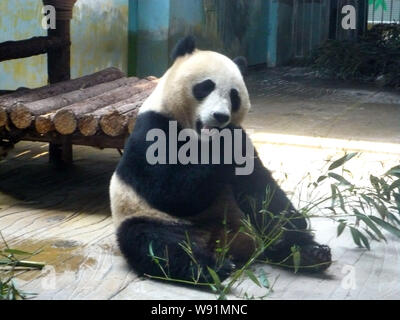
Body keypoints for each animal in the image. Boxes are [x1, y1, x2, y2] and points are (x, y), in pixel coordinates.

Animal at [109, 36, 332, 282]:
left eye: (234, 96)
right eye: (206, 86)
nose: (220, 116)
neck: (199, 137)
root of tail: (225, 243)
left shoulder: (242, 155)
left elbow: (262, 189)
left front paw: (292, 226)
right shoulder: (152, 128)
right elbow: (170, 191)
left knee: (263, 215)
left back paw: (307, 253)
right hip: (150, 217)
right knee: (156, 244)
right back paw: (211, 268)